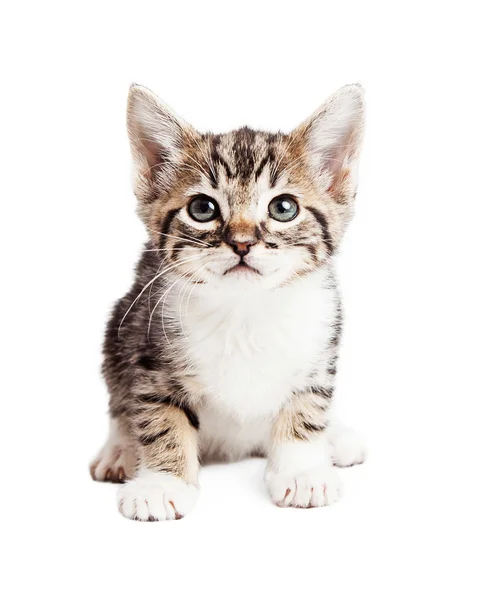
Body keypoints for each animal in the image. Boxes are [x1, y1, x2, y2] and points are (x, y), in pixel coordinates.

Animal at [90, 83, 368, 520]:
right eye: (202, 208)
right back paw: (120, 449)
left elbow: (308, 405)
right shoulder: (146, 344)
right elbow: (159, 415)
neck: (244, 312)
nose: (242, 242)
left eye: (283, 208)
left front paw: (302, 471)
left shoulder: (321, 344)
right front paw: (161, 483)